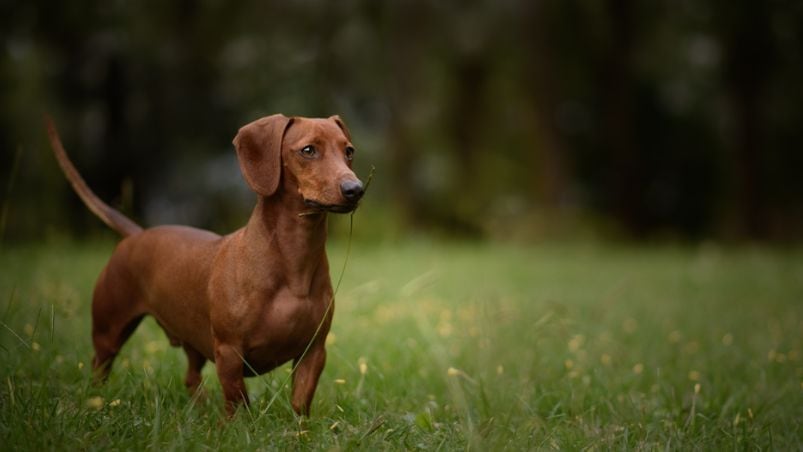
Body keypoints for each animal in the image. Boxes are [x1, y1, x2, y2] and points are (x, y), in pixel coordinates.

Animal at [45, 114, 366, 416]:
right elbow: (238, 400)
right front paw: (236, 426)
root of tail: (136, 235)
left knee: (190, 377)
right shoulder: (229, 351)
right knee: (100, 365)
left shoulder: (313, 351)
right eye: (308, 150)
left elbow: (300, 403)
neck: (294, 260)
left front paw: (299, 430)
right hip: (108, 332)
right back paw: (97, 401)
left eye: (348, 151)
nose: (355, 189)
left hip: (192, 342)